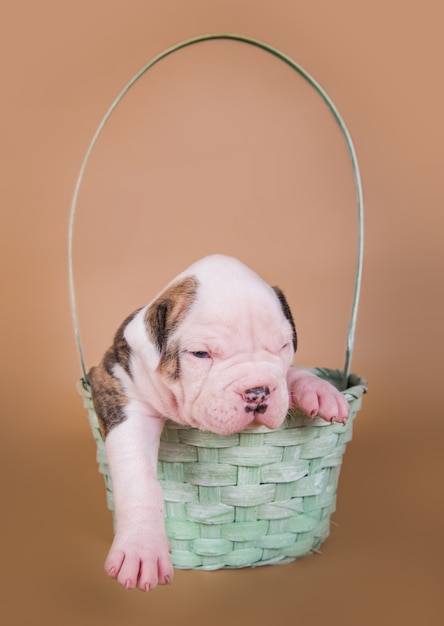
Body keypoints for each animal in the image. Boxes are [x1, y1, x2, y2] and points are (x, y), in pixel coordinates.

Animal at [88, 251, 348, 588]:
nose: (257, 393)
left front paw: (319, 390)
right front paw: (141, 547)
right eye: (200, 354)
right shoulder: (122, 398)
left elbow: (289, 373)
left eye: (283, 345)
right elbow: (139, 480)